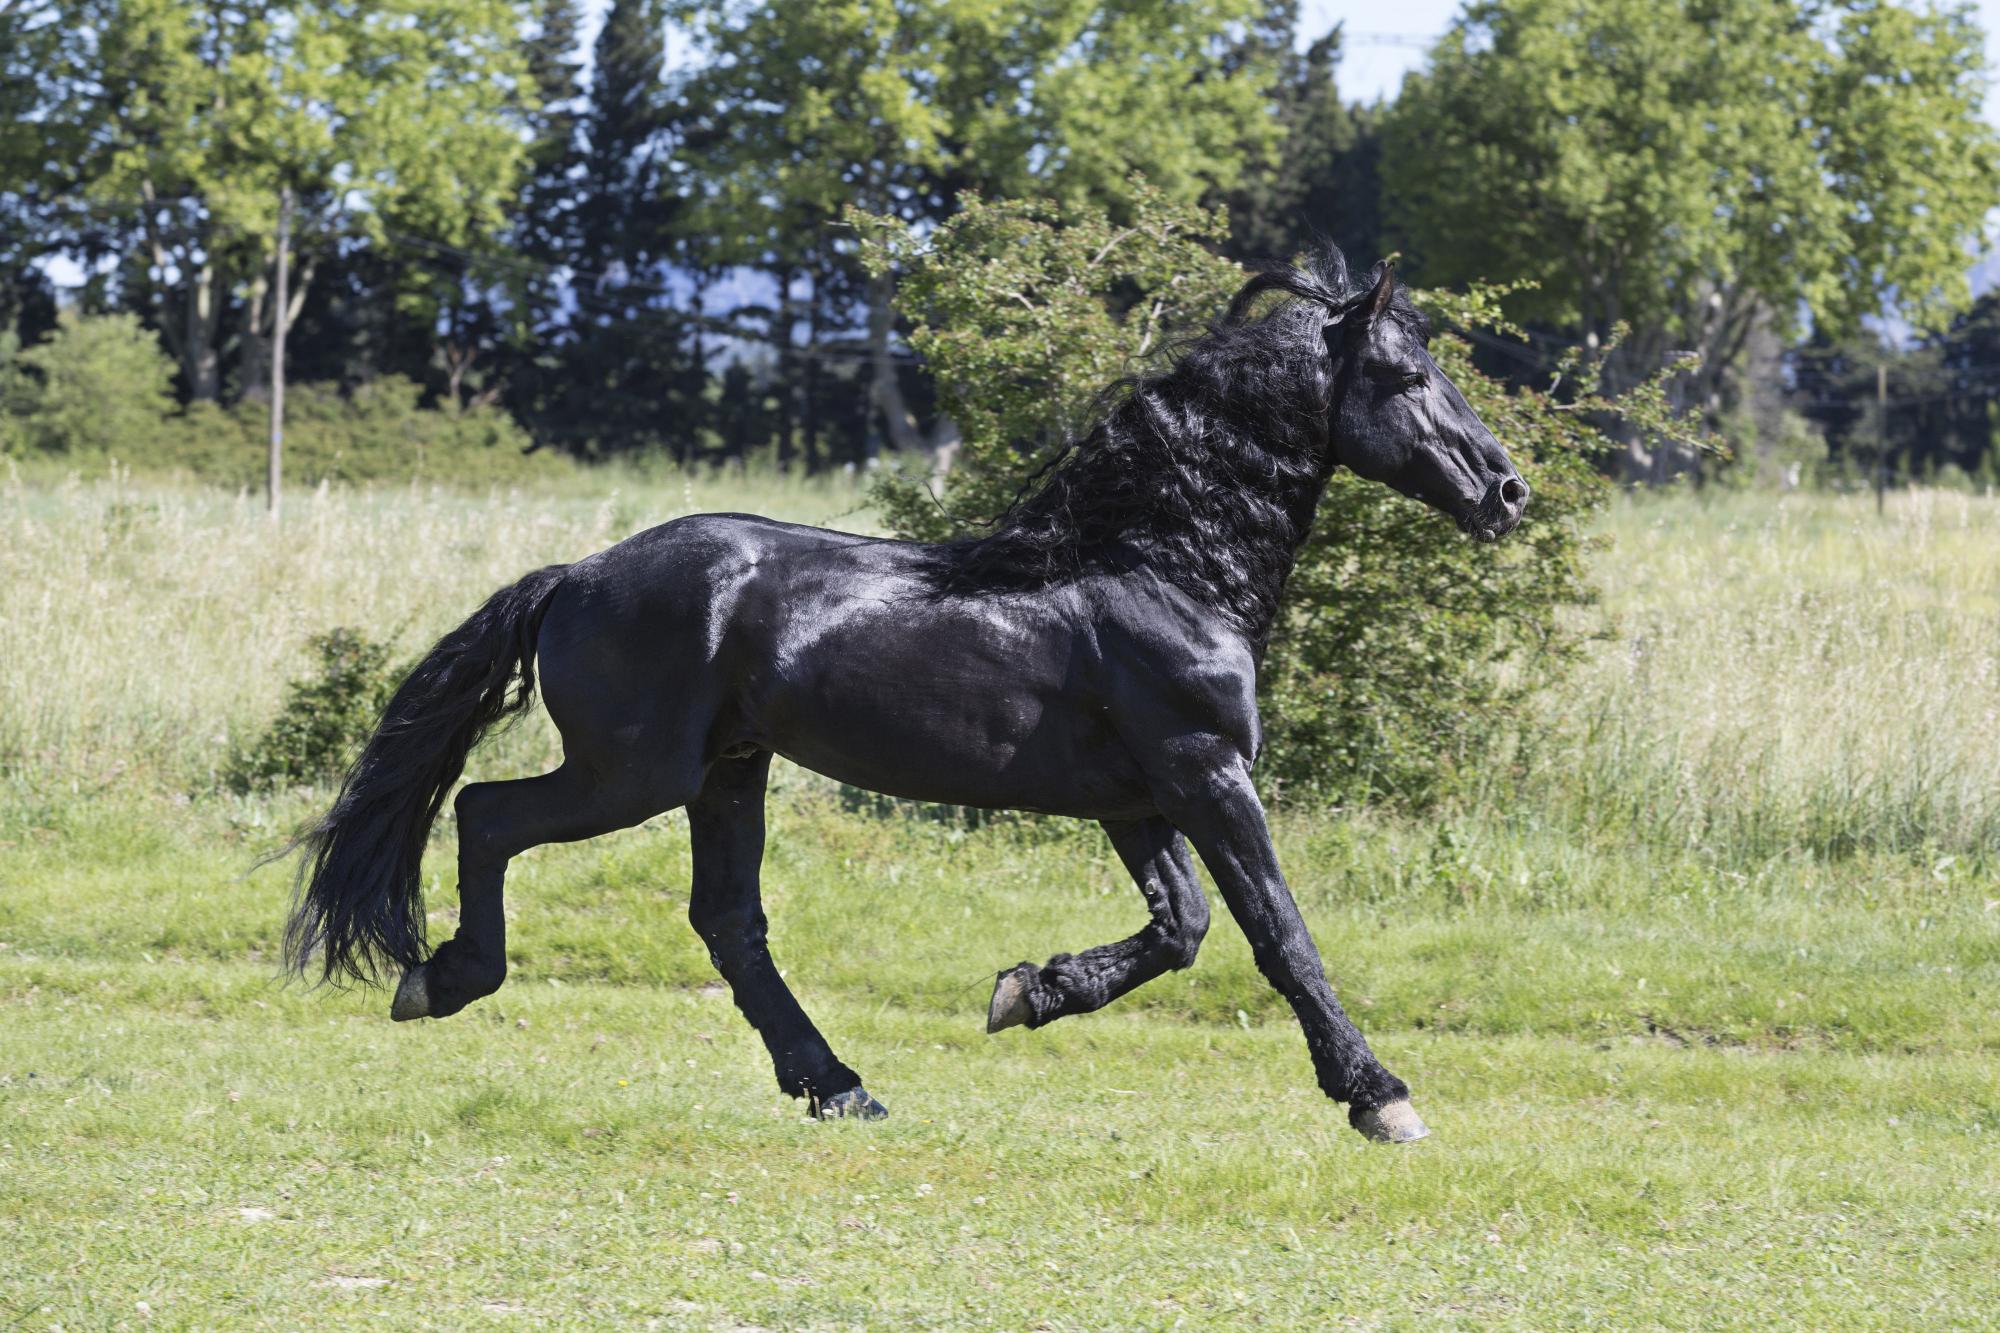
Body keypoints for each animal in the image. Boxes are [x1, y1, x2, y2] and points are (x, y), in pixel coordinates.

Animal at [290, 252, 1520, 1144]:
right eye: (1408, 378)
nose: (1506, 490)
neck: (1163, 565)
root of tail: (577, 575)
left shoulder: (1139, 798)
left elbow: (1182, 930)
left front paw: (1028, 989)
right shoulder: (1203, 772)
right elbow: (1277, 932)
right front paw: (1380, 1096)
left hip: (727, 770)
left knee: (728, 922)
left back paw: (838, 1086)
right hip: (630, 773)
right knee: (486, 814)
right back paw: (444, 977)